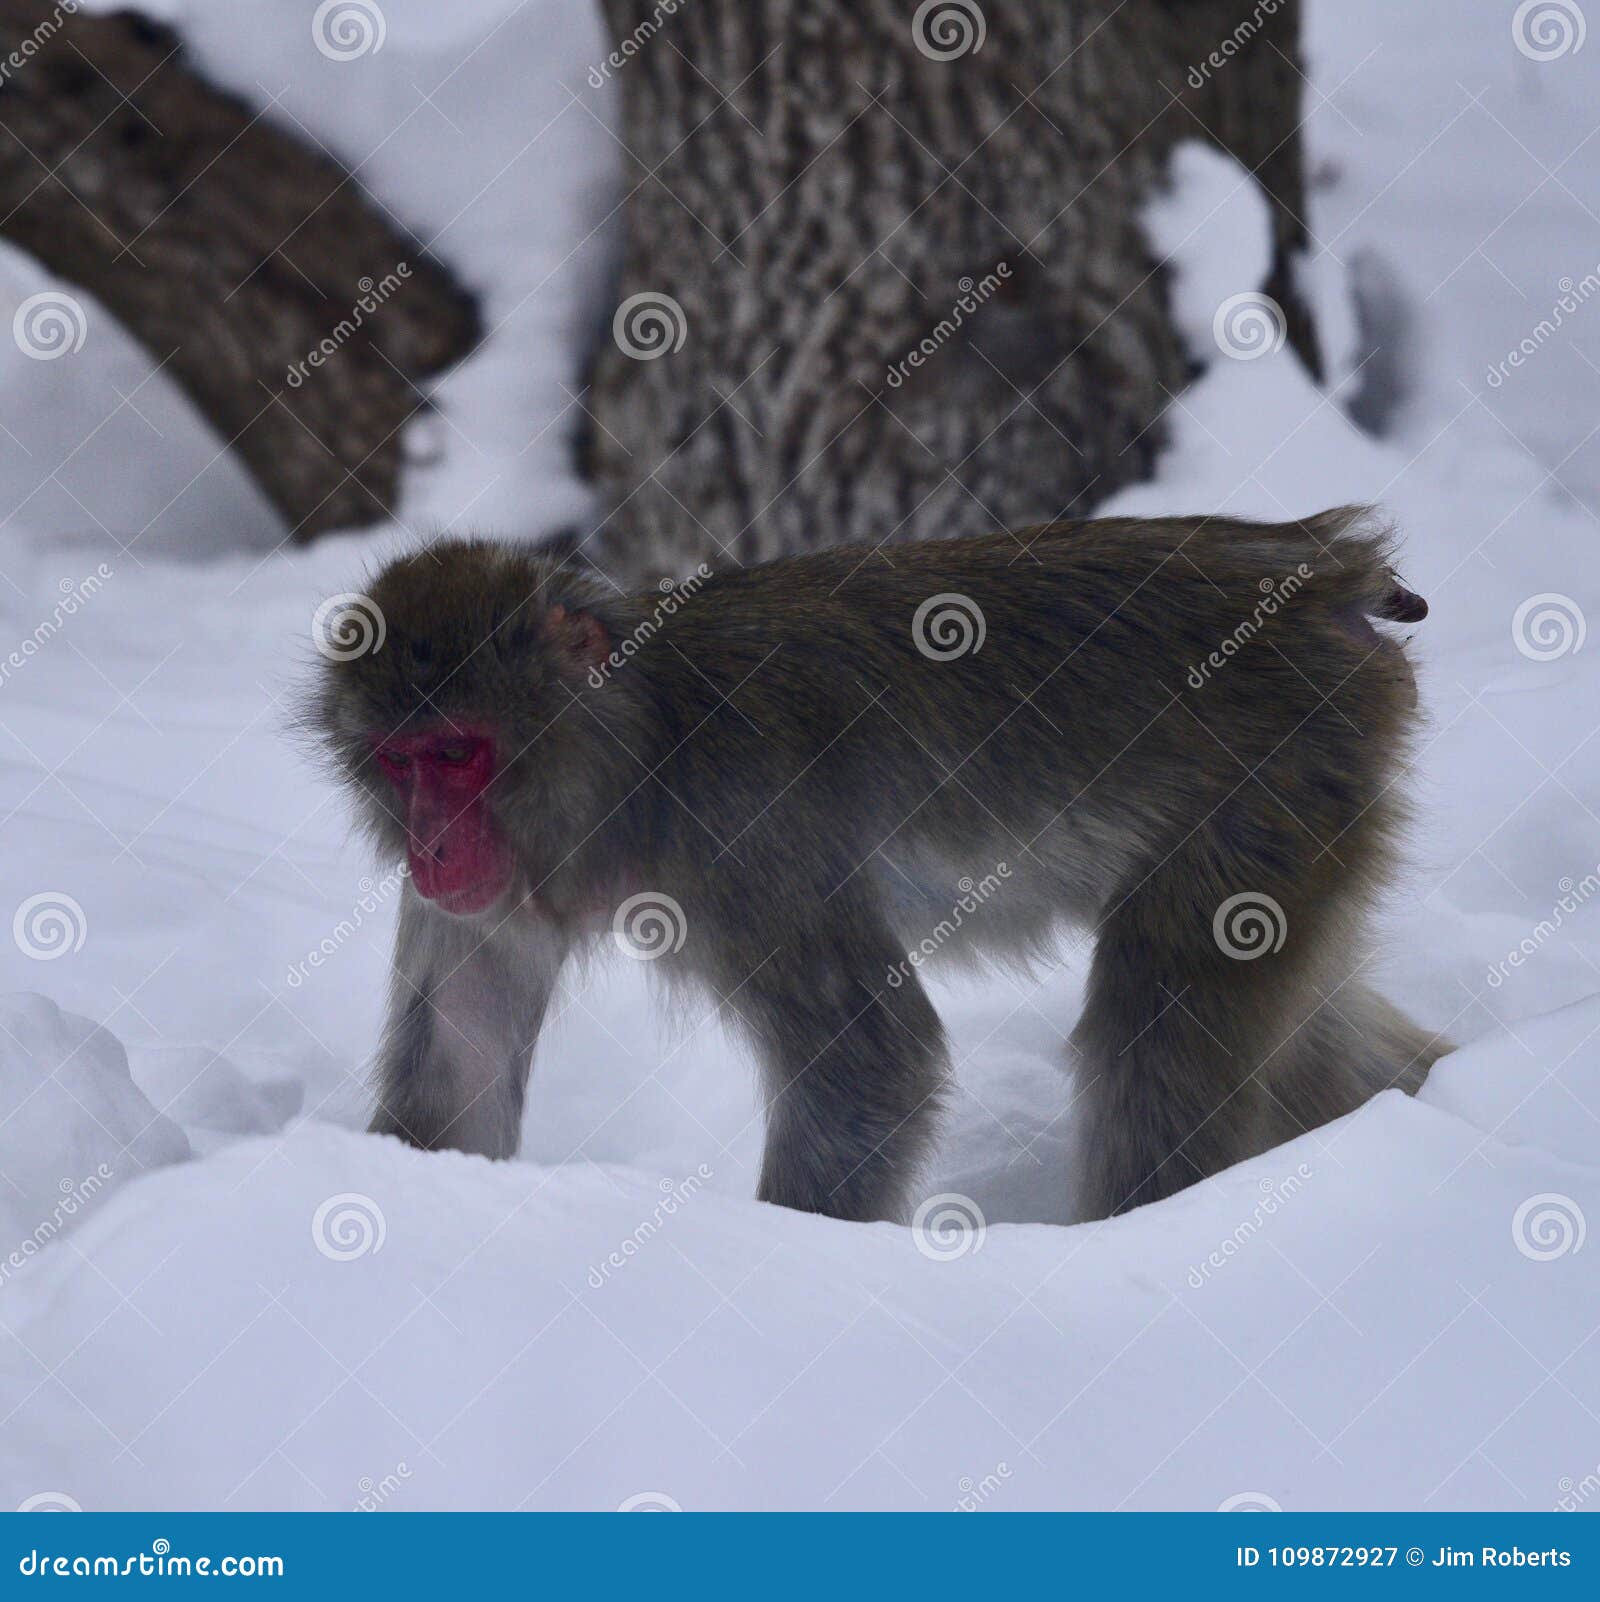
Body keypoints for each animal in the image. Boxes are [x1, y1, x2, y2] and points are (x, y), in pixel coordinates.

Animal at [305, 506, 1447, 1217]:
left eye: (459, 753)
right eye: (400, 760)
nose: (430, 847)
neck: (643, 748)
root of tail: (1321, 570)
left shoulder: (750, 836)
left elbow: (867, 1063)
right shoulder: (488, 899)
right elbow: (455, 1079)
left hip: (1274, 779)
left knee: (1157, 1022)